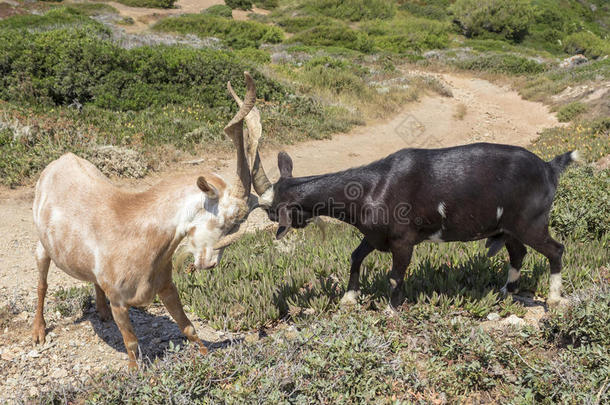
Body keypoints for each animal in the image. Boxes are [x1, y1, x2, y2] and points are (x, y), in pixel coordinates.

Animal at [32, 72, 258, 366]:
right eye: (226, 220)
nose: (208, 264)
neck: (137, 230)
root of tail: (61, 159)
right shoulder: (120, 301)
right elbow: (132, 344)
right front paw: (136, 372)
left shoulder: (166, 285)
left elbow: (188, 327)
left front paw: (207, 358)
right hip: (41, 245)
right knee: (42, 283)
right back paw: (38, 331)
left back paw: (101, 312)